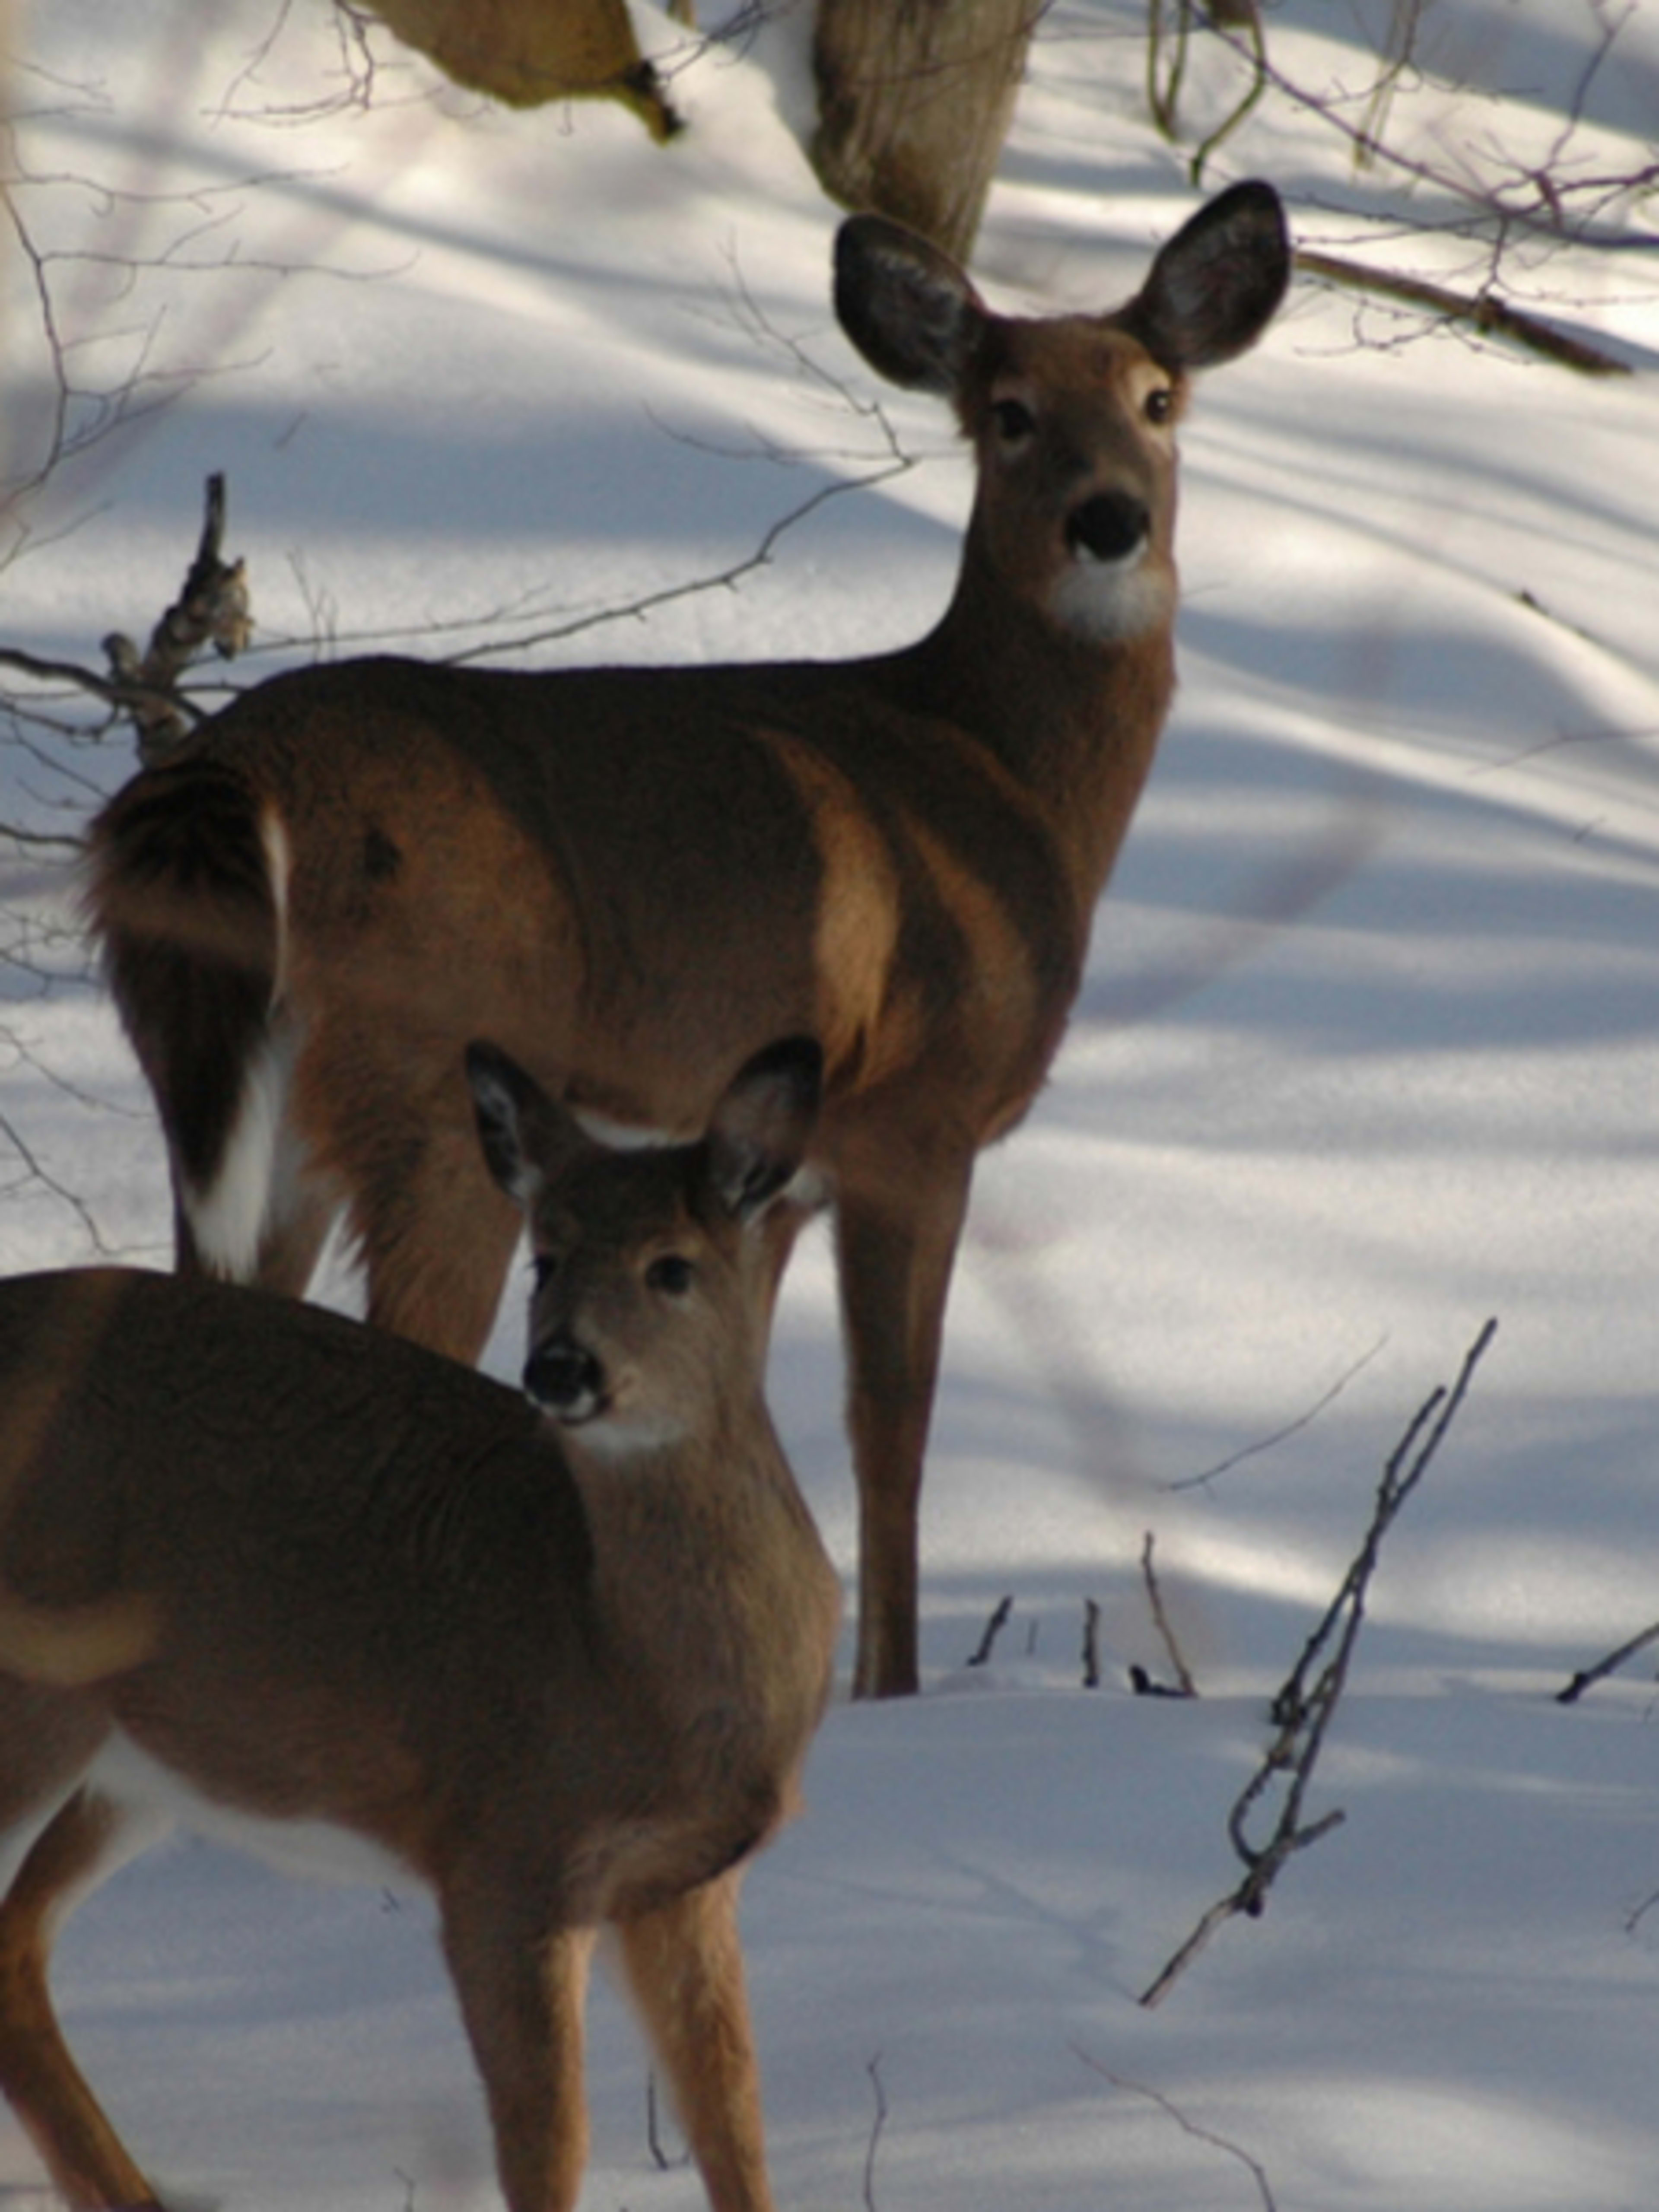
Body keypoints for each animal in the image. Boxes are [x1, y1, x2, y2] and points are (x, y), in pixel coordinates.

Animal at [0, 1033, 840, 2212]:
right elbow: (548, 2140)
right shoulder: (506, 1851)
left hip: (132, 1760)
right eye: (543, 1258)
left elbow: (734, 2122)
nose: (559, 1368)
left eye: (672, 1266)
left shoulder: (682, 1879)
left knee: (13, 1944)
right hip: (35, 1696)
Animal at [82, 180, 1291, 1698]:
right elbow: (891, 1426)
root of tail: (237, 770)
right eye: (1007, 411)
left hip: (244, 1100)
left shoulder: (763, 1175)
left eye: (1156, 398)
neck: (996, 777)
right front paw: (889, 1691)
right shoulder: (918, 1115)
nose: (1109, 520)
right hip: (432, 1083)